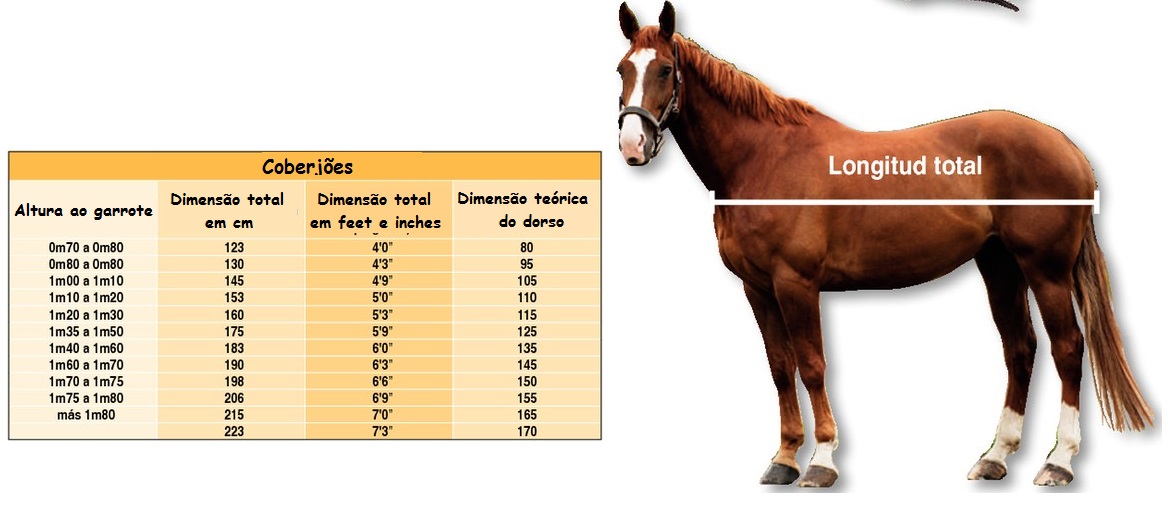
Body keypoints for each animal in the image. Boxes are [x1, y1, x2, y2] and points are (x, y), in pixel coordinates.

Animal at [616, 2, 1152, 488]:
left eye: (665, 69)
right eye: (622, 69)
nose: (631, 146)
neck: (763, 158)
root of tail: (1069, 149)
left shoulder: (796, 284)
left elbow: (812, 366)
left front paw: (821, 462)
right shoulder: (758, 288)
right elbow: (780, 368)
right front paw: (784, 459)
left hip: (1046, 271)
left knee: (1068, 349)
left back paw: (1058, 462)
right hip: (1000, 265)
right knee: (1020, 349)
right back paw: (996, 456)